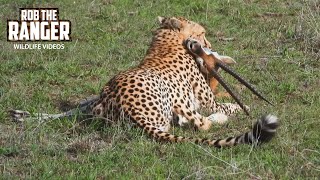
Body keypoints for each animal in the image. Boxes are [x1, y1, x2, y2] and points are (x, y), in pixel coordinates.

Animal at [8, 16, 278, 147]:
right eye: (202, 33)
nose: (206, 44)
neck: (165, 39)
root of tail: (128, 108)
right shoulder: (207, 101)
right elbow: (230, 106)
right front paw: (243, 107)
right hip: (177, 102)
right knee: (201, 124)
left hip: (101, 101)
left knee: (79, 109)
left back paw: (20, 115)